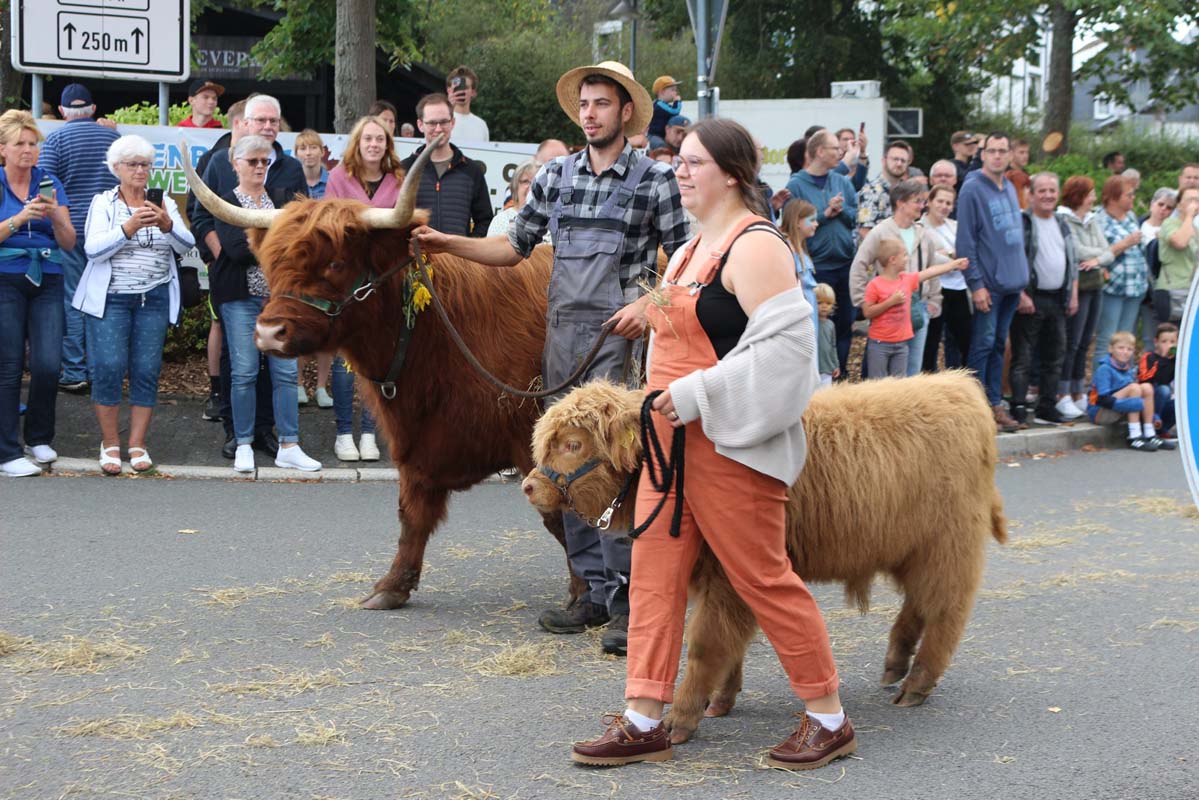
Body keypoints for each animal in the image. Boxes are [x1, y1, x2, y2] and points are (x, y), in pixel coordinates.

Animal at [183, 140, 585, 609]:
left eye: (336, 264)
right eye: (269, 263)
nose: (268, 333)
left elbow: (561, 517)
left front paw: (583, 594)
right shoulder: (415, 445)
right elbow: (411, 515)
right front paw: (392, 586)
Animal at [529, 371, 1007, 743]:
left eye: (573, 444)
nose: (530, 486)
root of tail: (958, 386)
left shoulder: (727, 575)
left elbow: (706, 643)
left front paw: (682, 717)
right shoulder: (718, 577)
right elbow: (729, 642)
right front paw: (720, 700)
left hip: (947, 547)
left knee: (944, 610)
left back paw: (916, 685)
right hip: (910, 550)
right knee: (918, 605)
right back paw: (895, 665)